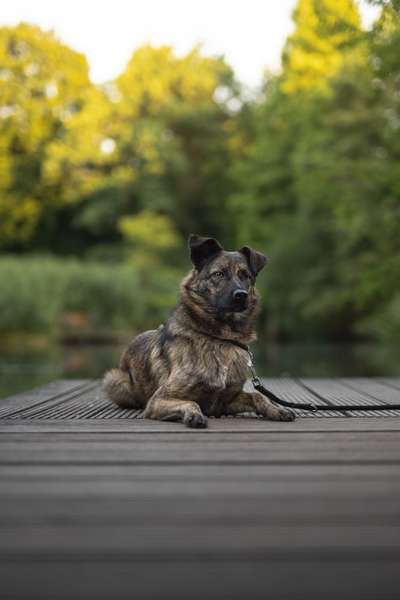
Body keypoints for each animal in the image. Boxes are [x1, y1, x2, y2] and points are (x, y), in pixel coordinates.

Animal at [103, 234, 296, 426]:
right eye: (218, 274)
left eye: (245, 275)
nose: (241, 295)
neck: (220, 337)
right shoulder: (159, 399)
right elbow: (191, 401)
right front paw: (194, 414)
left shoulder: (227, 400)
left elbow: (257, 396)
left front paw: (276, 409)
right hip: (115, 381)